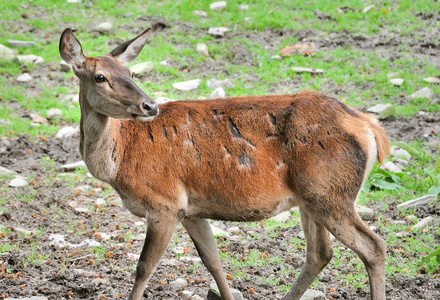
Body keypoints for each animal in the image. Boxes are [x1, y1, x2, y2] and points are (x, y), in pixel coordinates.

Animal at [58, 28, 388, 300]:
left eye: (129, 71)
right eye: (100, 77)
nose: (149, 105)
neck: (120, 162)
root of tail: (370, 128)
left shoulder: (164, 203)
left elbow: (144, 268)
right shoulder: (190, 210)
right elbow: (213, 262)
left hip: (330, 192)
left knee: (373, 246)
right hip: (311, 199)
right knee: (320, 253)